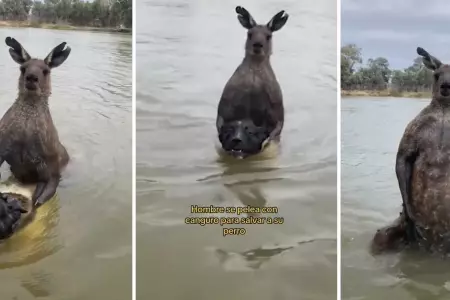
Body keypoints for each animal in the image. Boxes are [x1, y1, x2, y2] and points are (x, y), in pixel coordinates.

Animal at [215, 5, 286, 158]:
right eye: (250, 34)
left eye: (268, 36)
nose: (257, 45)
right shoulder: (226, 103)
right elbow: (221, 119)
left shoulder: (276, 109)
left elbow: (276, 128)